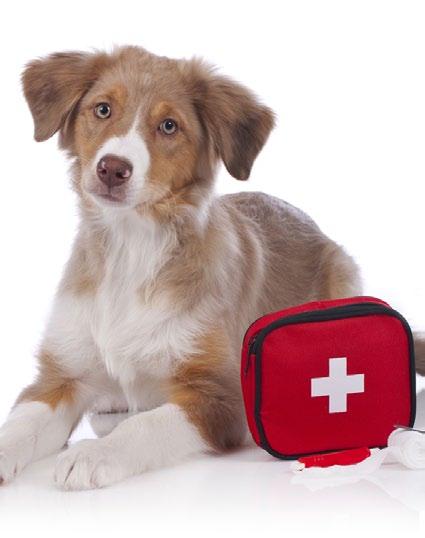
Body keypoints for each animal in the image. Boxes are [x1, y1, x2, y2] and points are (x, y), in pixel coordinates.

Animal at [0, 46, 423, 490]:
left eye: (169, 126)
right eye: (102, 109)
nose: (112, 168)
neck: (132, 249)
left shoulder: (222, 398)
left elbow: (146, 425)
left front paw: (96, 452)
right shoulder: (60, 376)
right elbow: (22, 423)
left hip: (344, 272)